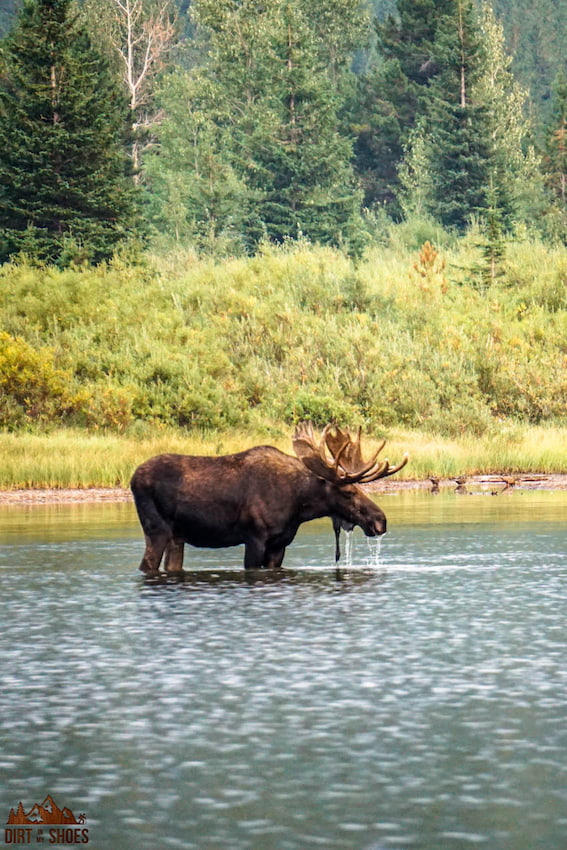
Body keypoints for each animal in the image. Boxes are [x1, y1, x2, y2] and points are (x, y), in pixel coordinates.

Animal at [132, 420, 408, 572]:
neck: (298, 506)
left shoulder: (279, 543)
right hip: (156, 529)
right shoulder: (254, 537)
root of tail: (133, 478)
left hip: (177, 536)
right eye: (349, 491)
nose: (380, 520)